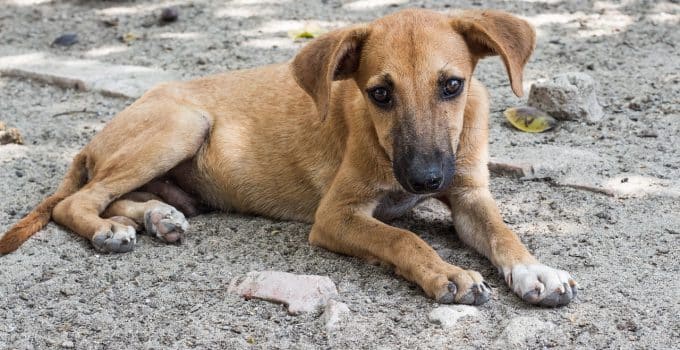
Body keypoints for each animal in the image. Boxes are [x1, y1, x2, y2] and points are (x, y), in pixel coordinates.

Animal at [0, 8, 576, 306]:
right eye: (380, 94)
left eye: (452, 85)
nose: (425, 179)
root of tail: (93, 138)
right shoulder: (336, 216)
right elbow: (402, 237)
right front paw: (446, 273)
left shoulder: (470, 195)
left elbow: (504, 233)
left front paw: (536, 271)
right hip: (183, 123)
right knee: (76, 202)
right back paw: (107, 230)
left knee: (121, 196)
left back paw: (157, 217)